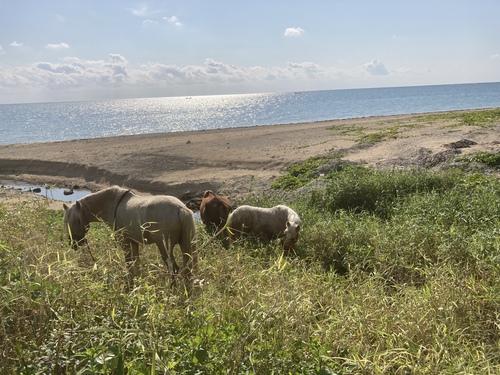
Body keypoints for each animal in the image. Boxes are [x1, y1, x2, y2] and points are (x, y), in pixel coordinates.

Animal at [61, 187, 196, 288]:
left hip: (163, 246)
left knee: (174, 268)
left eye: (76, 220)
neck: (111, 203)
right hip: (184, 244)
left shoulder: (124, 241)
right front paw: (138, 282)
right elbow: (136, 263)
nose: (74, 244)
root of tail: (180, 209)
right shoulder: (134, 242)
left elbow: (129, 263)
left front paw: (130, 284)